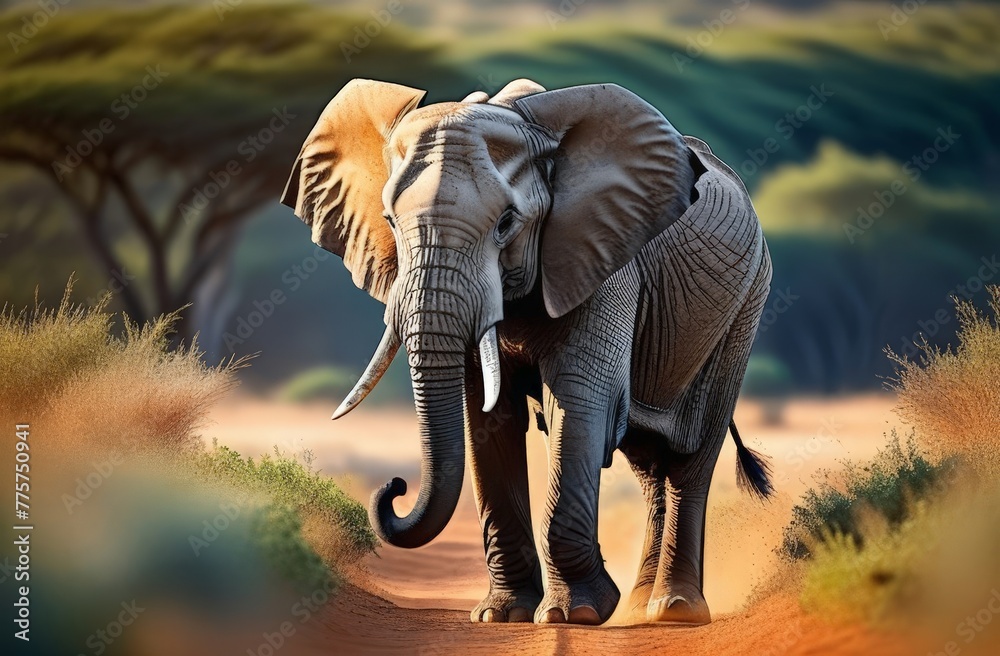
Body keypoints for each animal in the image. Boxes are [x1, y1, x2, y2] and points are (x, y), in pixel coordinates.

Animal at [280, 78, 773, 626]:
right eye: (388, 219)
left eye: (506, 223)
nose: (394, 488)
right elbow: (487, 420)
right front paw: (502, 615)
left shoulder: (601, 258)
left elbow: (577, 405)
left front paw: (575, 614)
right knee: (649, 466)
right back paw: (641, 605)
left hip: (745, 305)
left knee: (690, 456)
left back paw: (675, 610)